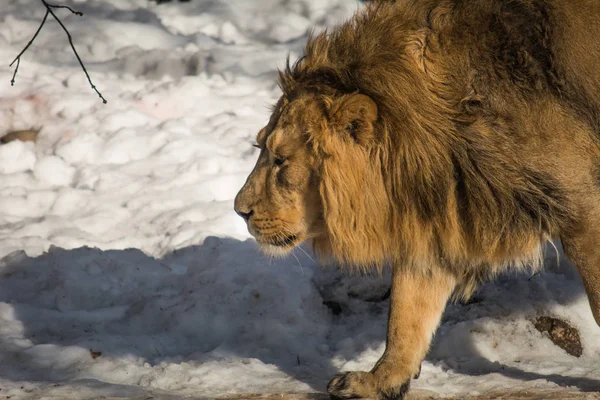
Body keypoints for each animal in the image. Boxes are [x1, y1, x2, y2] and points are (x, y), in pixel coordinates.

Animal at [233, 1, 600, 398]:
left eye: (280, 160)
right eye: (260, 148)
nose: (239, 211)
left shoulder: (585, 206)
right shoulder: (442, 212)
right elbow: (407, 311)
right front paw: (379, 380)